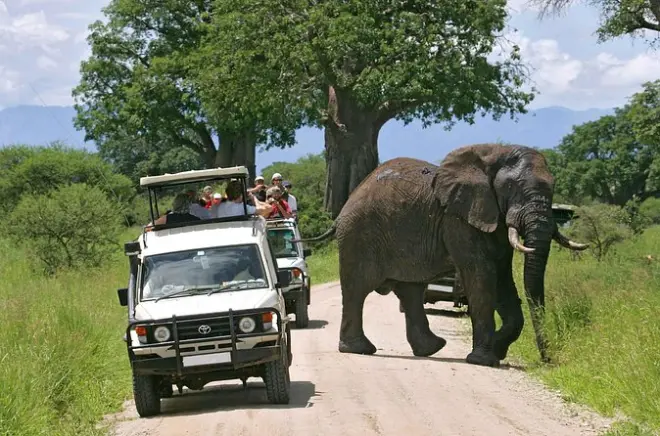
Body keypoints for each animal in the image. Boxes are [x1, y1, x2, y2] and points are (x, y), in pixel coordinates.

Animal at [297, 143, 588, 367]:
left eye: (553, 187)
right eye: (511, 188)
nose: (547, 361)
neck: (494, 153)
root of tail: (344, 208)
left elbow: (503, 278)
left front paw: (497, 349)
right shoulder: (457, 219)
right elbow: (482, 276)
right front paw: (484, 360)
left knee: (411, 291)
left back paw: (431, 349)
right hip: (358, 235)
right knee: (358, 289)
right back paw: (360, 350)